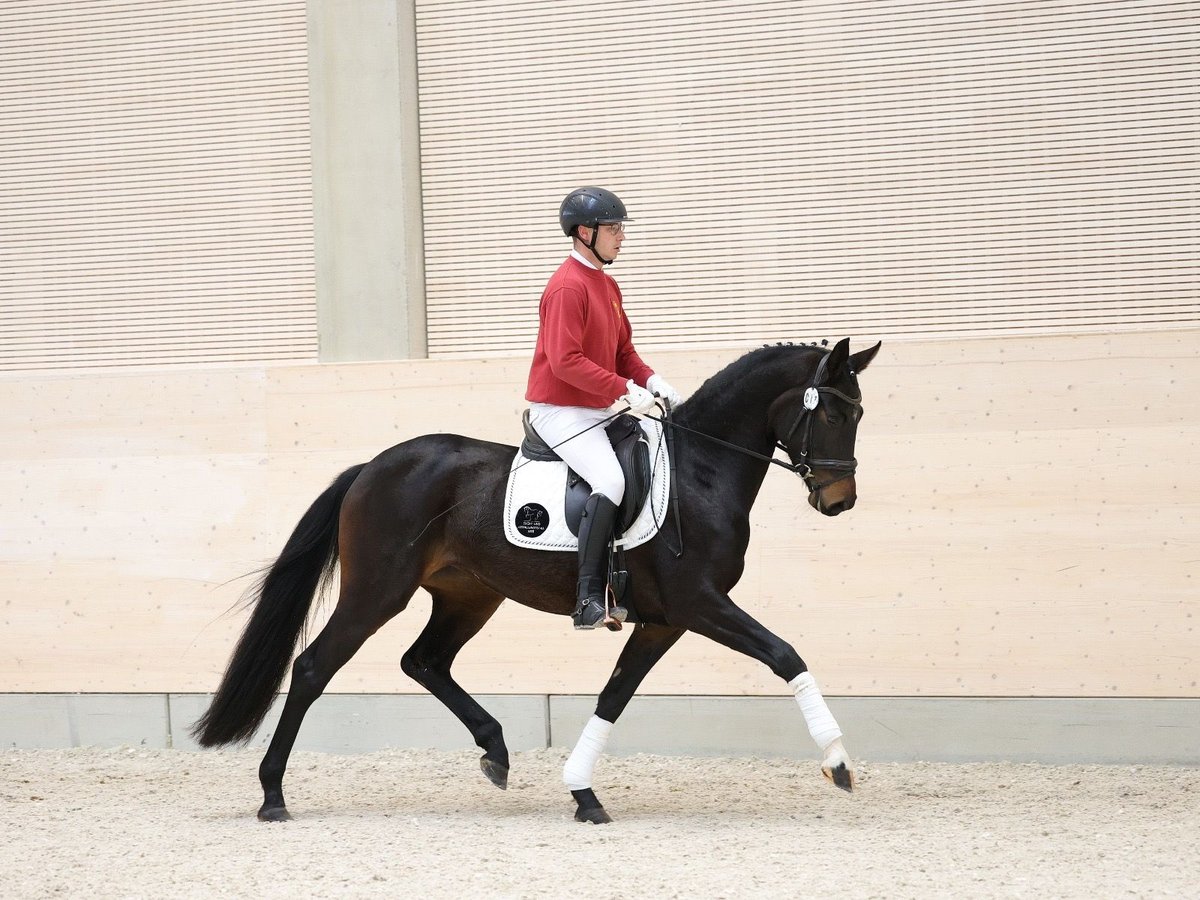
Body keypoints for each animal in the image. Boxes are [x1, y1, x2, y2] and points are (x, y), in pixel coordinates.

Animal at [192, 337, 882, 823]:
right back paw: (272, 795)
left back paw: (494, 752)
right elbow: (785, 655)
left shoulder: (664, 620)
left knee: (424, 662)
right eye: (831, 414)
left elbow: (614, 696)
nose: (840, 500)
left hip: (471, 595)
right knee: (313, 667)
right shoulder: (699, 604)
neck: (701, 471)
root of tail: (372, 467)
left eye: (859, 414)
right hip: (377, 593)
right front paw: (839, 761)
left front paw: (583, 793)